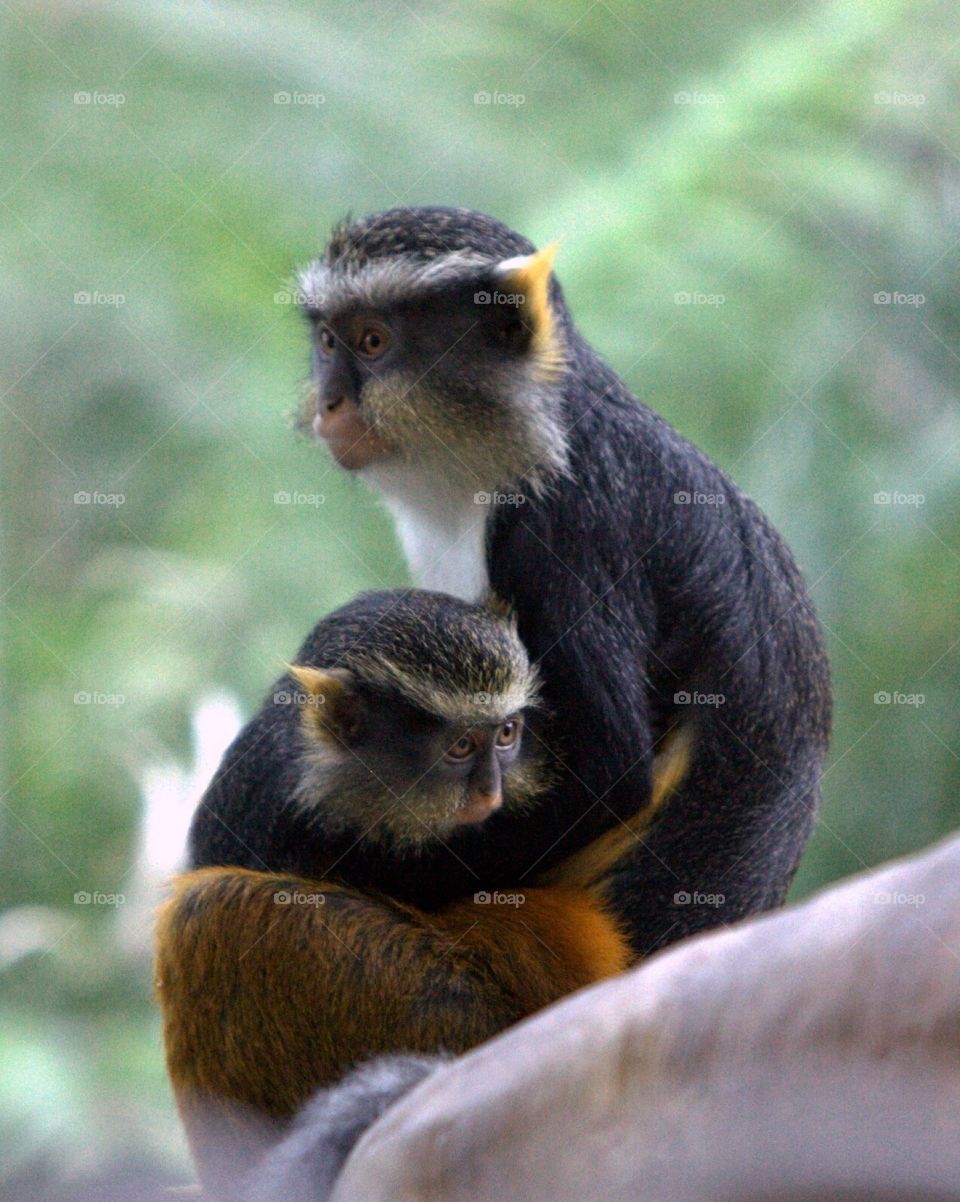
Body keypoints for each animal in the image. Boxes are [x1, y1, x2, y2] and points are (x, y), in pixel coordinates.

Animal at [296, 205, 833, 956]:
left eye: (373, 341)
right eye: (326, 341)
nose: (330, 403)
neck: (524, 439)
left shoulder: (568, 528)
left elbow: (608, 772)